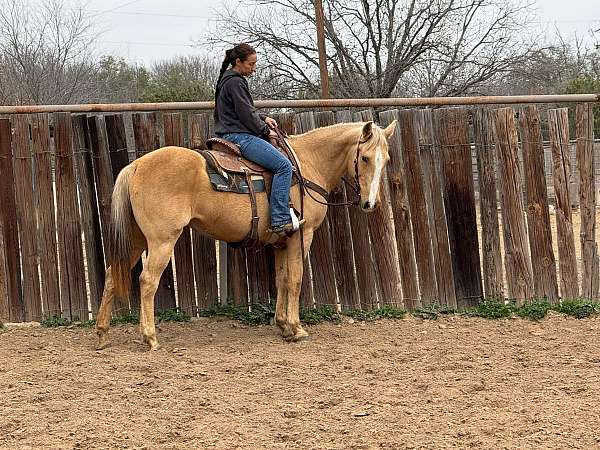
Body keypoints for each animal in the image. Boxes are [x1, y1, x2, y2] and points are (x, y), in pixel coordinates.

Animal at [96, 120, 398, 352]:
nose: (370, 203)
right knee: (147, 281)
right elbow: (296, 279)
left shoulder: (282, 242)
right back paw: (150, 338)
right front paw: (297, 328)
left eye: (386, 160)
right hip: (162, 240)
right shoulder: (302, 236)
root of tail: (135, 166)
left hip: (136, 239)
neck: (308, 165)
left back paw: (102, 333)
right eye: (365, 158)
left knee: (112, 274)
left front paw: (282, 325)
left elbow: (282, 280)